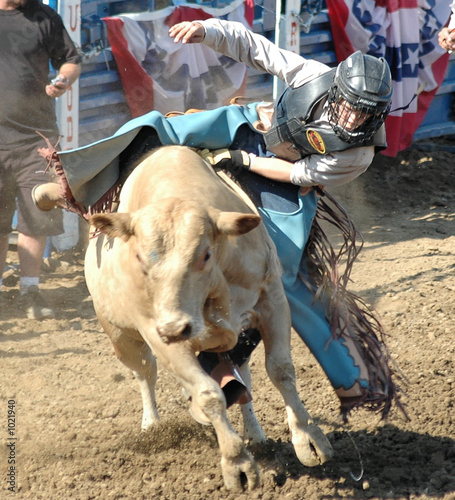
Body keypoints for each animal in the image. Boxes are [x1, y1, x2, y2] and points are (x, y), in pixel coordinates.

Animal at [85, 146, 334, 492]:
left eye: (204, 254)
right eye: (138, 257)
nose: (175, 327)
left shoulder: (271, 300)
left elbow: (281, 370)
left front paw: (308, 438)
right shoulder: (157, 334)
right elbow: (208, 394)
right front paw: (237, 463)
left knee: (244, 381)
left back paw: (256, 435)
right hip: (121, 337)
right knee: (145, 372)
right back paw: (152, 425)